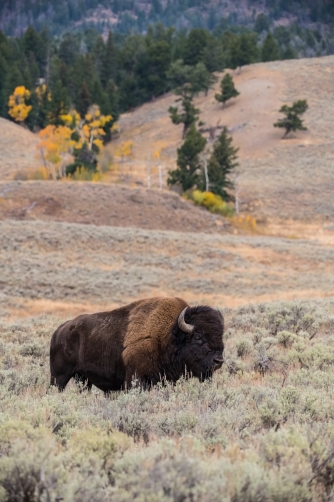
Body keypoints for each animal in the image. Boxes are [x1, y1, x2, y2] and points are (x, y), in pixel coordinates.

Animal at [49, 296, 224, 390]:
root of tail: (60, 331)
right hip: (59, 377)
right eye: (198, 337)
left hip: (83, 378)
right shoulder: (137, 379)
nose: (219, 361)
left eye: (221, 335)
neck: (168, 335)